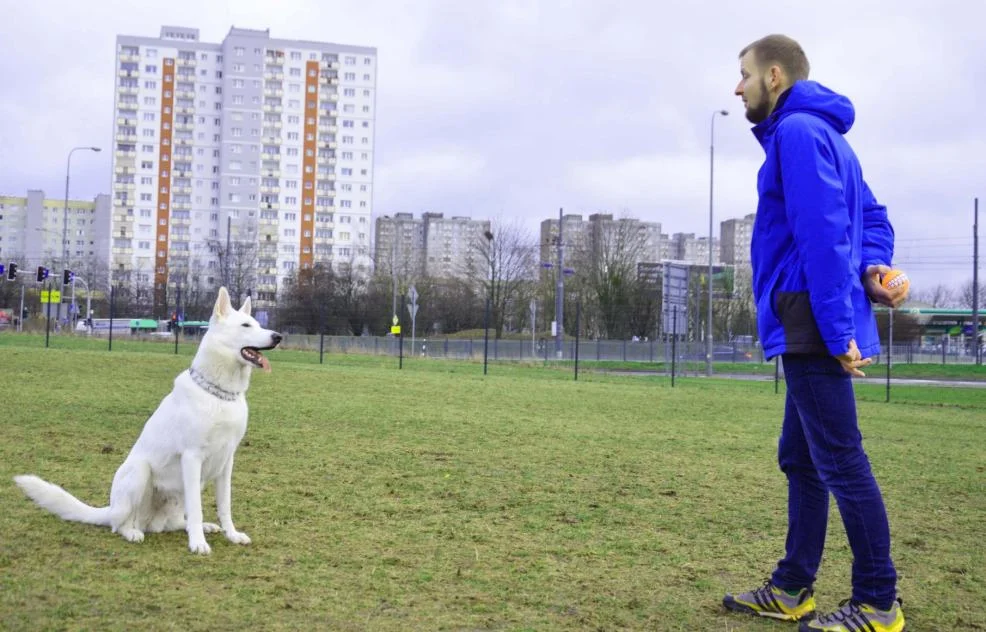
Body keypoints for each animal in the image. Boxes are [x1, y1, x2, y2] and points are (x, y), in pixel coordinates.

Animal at [13, 286, 280, 552]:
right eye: (246, 325)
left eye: (258, 324)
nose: (277, 337)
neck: (219, 395)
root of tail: (111, 509)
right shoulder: (192, 457)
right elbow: (197, 508)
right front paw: (197, 544)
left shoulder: (226, 462)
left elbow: (225, 506)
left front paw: (231, 535)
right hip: (140, 472)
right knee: (120, 525)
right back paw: (133, 532)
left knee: (176, 522)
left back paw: (201, 527)